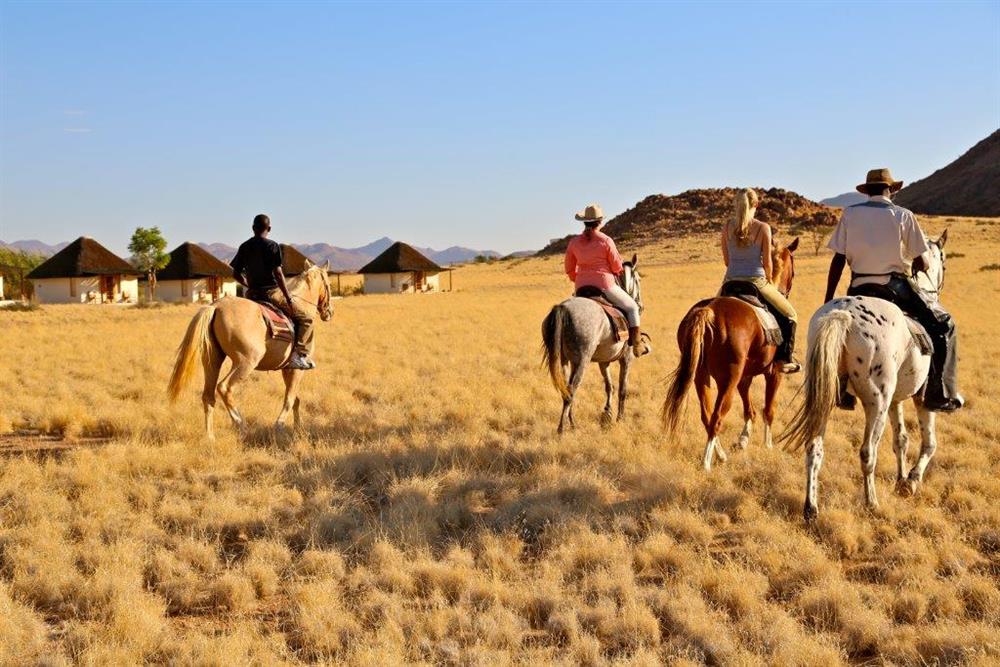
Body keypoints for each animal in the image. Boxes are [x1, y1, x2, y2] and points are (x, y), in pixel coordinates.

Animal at [166, 264, 334, 440]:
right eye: (329, 284)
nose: (329, 312)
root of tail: (216, 306)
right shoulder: (296, 369)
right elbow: (289, 399)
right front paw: (280, 425)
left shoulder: (286, 369)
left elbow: (295, 399)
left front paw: (298, 428)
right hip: (245, 363)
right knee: (225, 388)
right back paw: (240, 425)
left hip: (212, 362)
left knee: (208, 395)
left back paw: (210, 437)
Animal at [548, 256, 648, 434]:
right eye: (638, 279)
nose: (640, 306)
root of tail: (563, 308)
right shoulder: (626, 359)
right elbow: (622, 389)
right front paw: (620, 418)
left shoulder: (603, 362)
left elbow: (609, 386)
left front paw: (607, 413)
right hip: (581, 361)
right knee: (571, 390)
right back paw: (562, 429)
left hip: (564, 360)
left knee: (566, 389)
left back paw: (572, 423)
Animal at [664, 239, 796, 470]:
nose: (786, 290)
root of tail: (708, 311)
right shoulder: (774, 374)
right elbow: (768, 410)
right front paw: (768, 445)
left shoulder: (745, 376)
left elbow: (750, 410)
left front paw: (743, 441)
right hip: (728, 380)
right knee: (716, 417)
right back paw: (706, 464)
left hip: (701, 376)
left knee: (707, 416)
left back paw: (721, 454)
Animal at [776, 235, 948, 520]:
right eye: (943, 262)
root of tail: (844, 314)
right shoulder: (921, 397)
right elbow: (929, 443)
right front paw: (911, 481)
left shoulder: (896, 400)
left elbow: (901, 439)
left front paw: (901, 479)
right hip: (876, 402)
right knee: (868, 453)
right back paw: (871, 502)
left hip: (824, 395)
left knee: (814, 447)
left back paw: (811, 507)